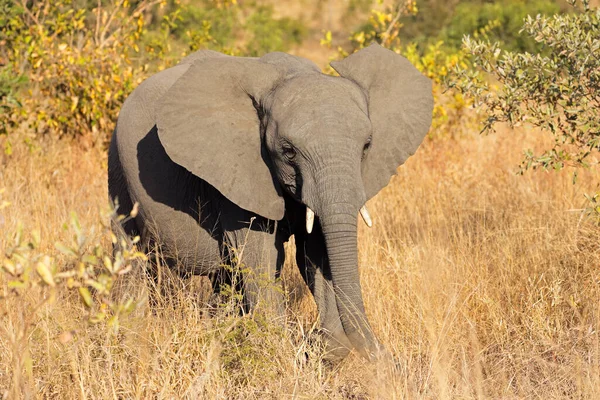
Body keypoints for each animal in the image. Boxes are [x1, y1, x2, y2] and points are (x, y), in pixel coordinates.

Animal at [109, 43, 432, 360]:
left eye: (366, 146)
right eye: (288, 151)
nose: (388, 358)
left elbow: (315, 252)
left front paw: (328, 349)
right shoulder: (237, 171)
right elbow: (261, 257)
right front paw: (286, 352)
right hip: (118, 167)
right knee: (129, 254)